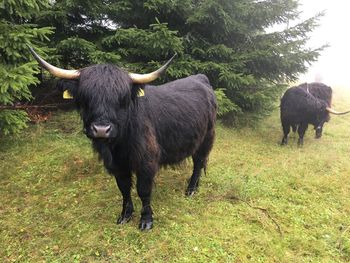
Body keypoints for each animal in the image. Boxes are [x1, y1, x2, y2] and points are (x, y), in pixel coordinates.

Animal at [29, 47, 216, 231]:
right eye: (85, 97)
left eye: (121, 99)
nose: (101, 130)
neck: (118, 146)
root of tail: (201, 78)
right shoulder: (116, 165)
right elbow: (124, 188)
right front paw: (125, 215)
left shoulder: (146, 162)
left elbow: (143, 190)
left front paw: (146, 221)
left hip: (206, 137)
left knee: (198, 162)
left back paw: (191, 190)